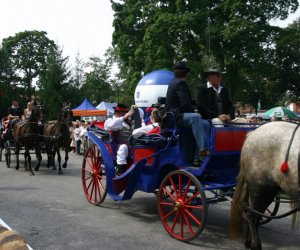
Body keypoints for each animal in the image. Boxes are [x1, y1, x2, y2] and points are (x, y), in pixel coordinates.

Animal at [231, 120, 298, 248]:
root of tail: (252, 133)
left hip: (268, 190)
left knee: (253, 214)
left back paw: (248, 241)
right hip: (260, 188)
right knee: (251, 216)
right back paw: (255, 245)